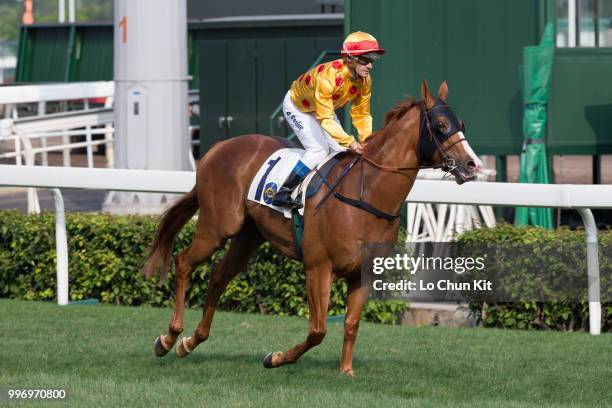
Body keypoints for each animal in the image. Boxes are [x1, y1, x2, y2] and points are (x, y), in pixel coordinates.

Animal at [143, 79, 482, 376]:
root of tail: (218, 147)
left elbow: (350, 325)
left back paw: (190, 342)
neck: (367, 194)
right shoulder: (318, 267)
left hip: (248, 236)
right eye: (441, 125)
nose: (473, 165)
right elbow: (318, 330)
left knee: (218, 277)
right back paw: (169, 338)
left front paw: (346, 371)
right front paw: (275, 358)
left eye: (463, 124)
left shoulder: (363, 274)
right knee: (183, 262)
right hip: (218, 226)